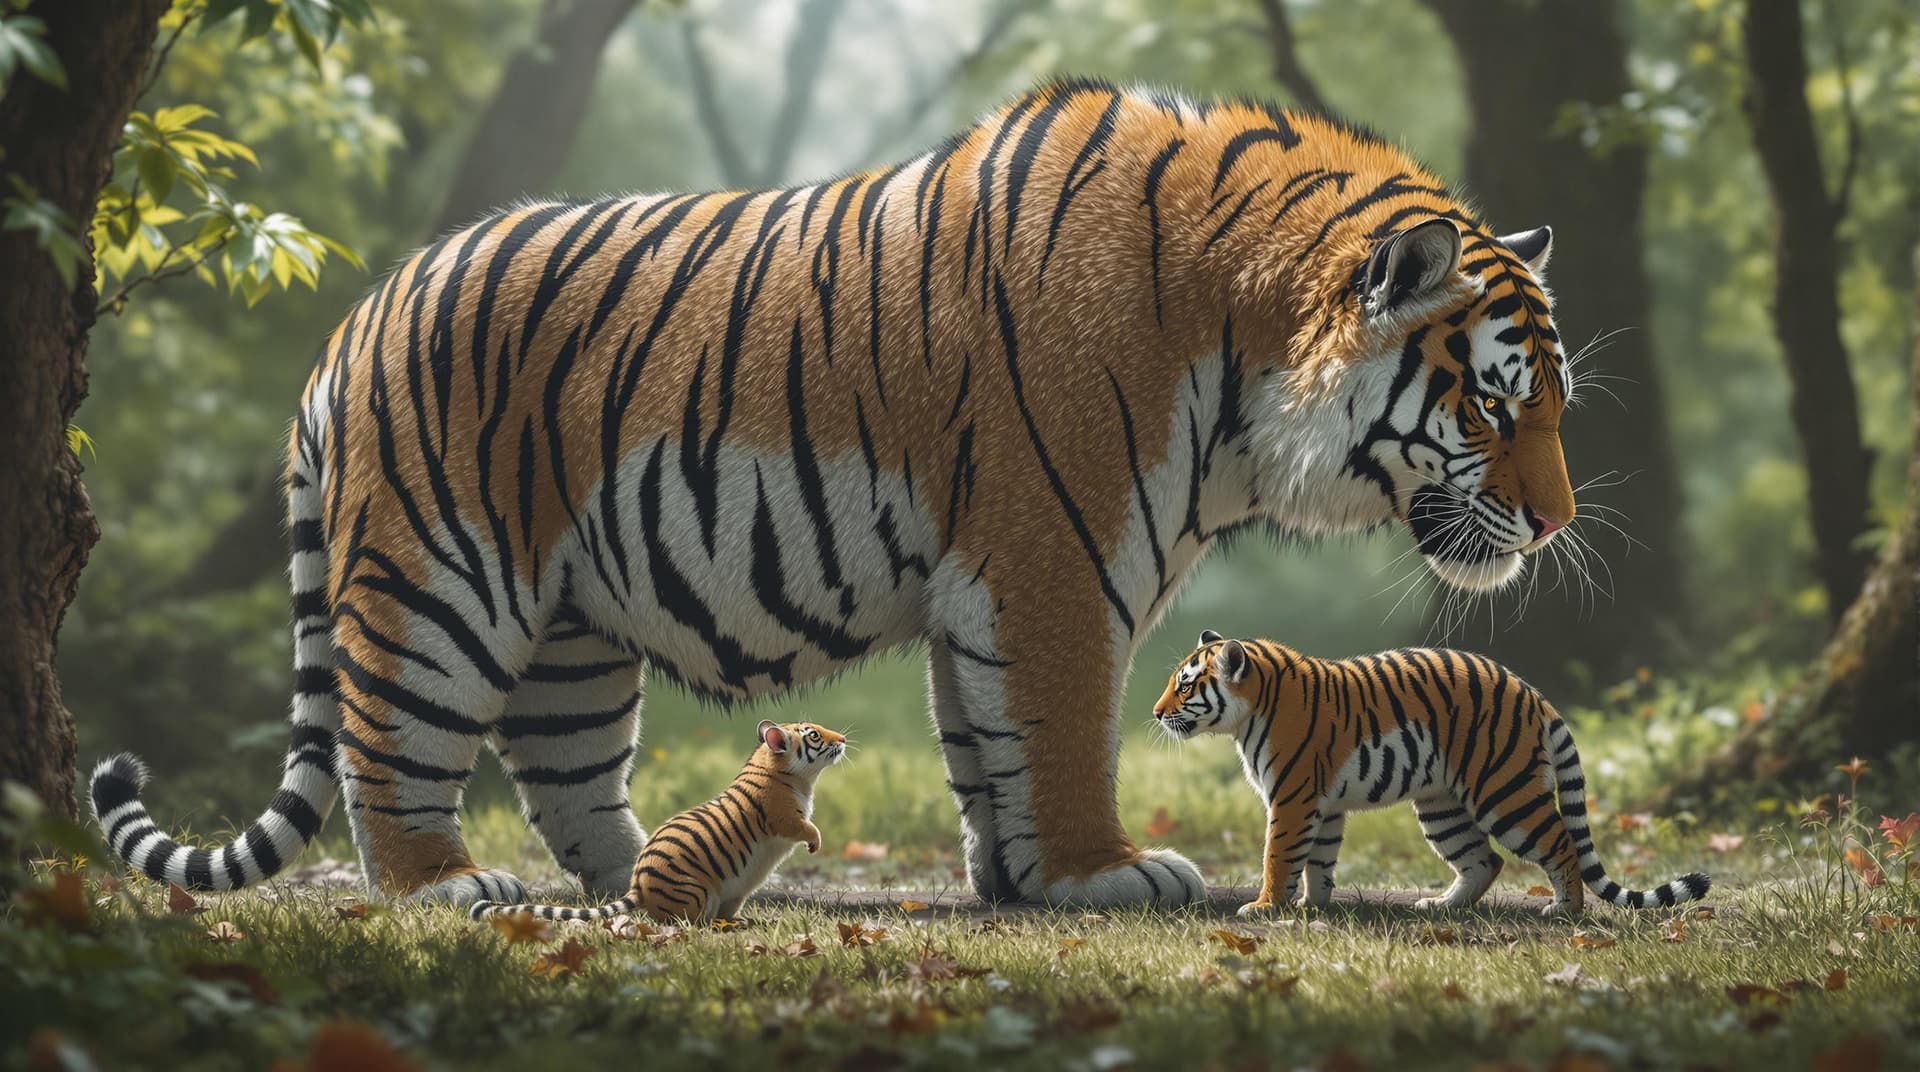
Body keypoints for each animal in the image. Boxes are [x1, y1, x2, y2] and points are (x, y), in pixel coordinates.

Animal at [470, 720, 844, 924]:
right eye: (813, 735)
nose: (842, 740)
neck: (793, 777)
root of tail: (638, 886)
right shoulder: (783, 816)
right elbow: (807, 827)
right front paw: (815, 843)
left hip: (734, 894)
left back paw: (744, 921)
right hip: (697, 891)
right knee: (688, 922)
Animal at [1153, 632, 1711, 916]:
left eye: (1185, 686)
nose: (1157, 714)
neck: (1250, 713)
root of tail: (1533, 694)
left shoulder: (1292, 799)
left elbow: (1279, 855)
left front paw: (1265, 906)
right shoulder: (1322, 805)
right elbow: (1318, 860)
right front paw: (1313, 903)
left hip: (1504, 793)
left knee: (1559, 842)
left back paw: (1564, 909)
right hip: (1441, 806)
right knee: (1485, 860)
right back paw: (1440, 905)